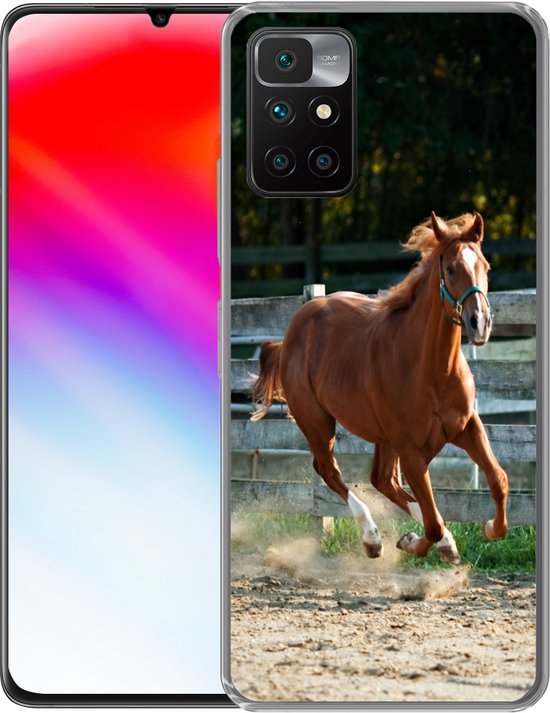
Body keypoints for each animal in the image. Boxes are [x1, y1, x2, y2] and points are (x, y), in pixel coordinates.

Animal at [251, 212, 509, 565]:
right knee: (329, 470)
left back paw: (439, 543)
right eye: (451, 268)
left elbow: (498, 481)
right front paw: (412, 542)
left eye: (485, 266)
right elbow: (433, 523)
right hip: (318, 422)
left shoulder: (467, 426)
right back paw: (372, 538)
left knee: (382, 480)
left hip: (383, 438)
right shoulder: (411, 450)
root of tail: (291, 333)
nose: (479, 323)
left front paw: (488, 529)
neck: (432, 370)